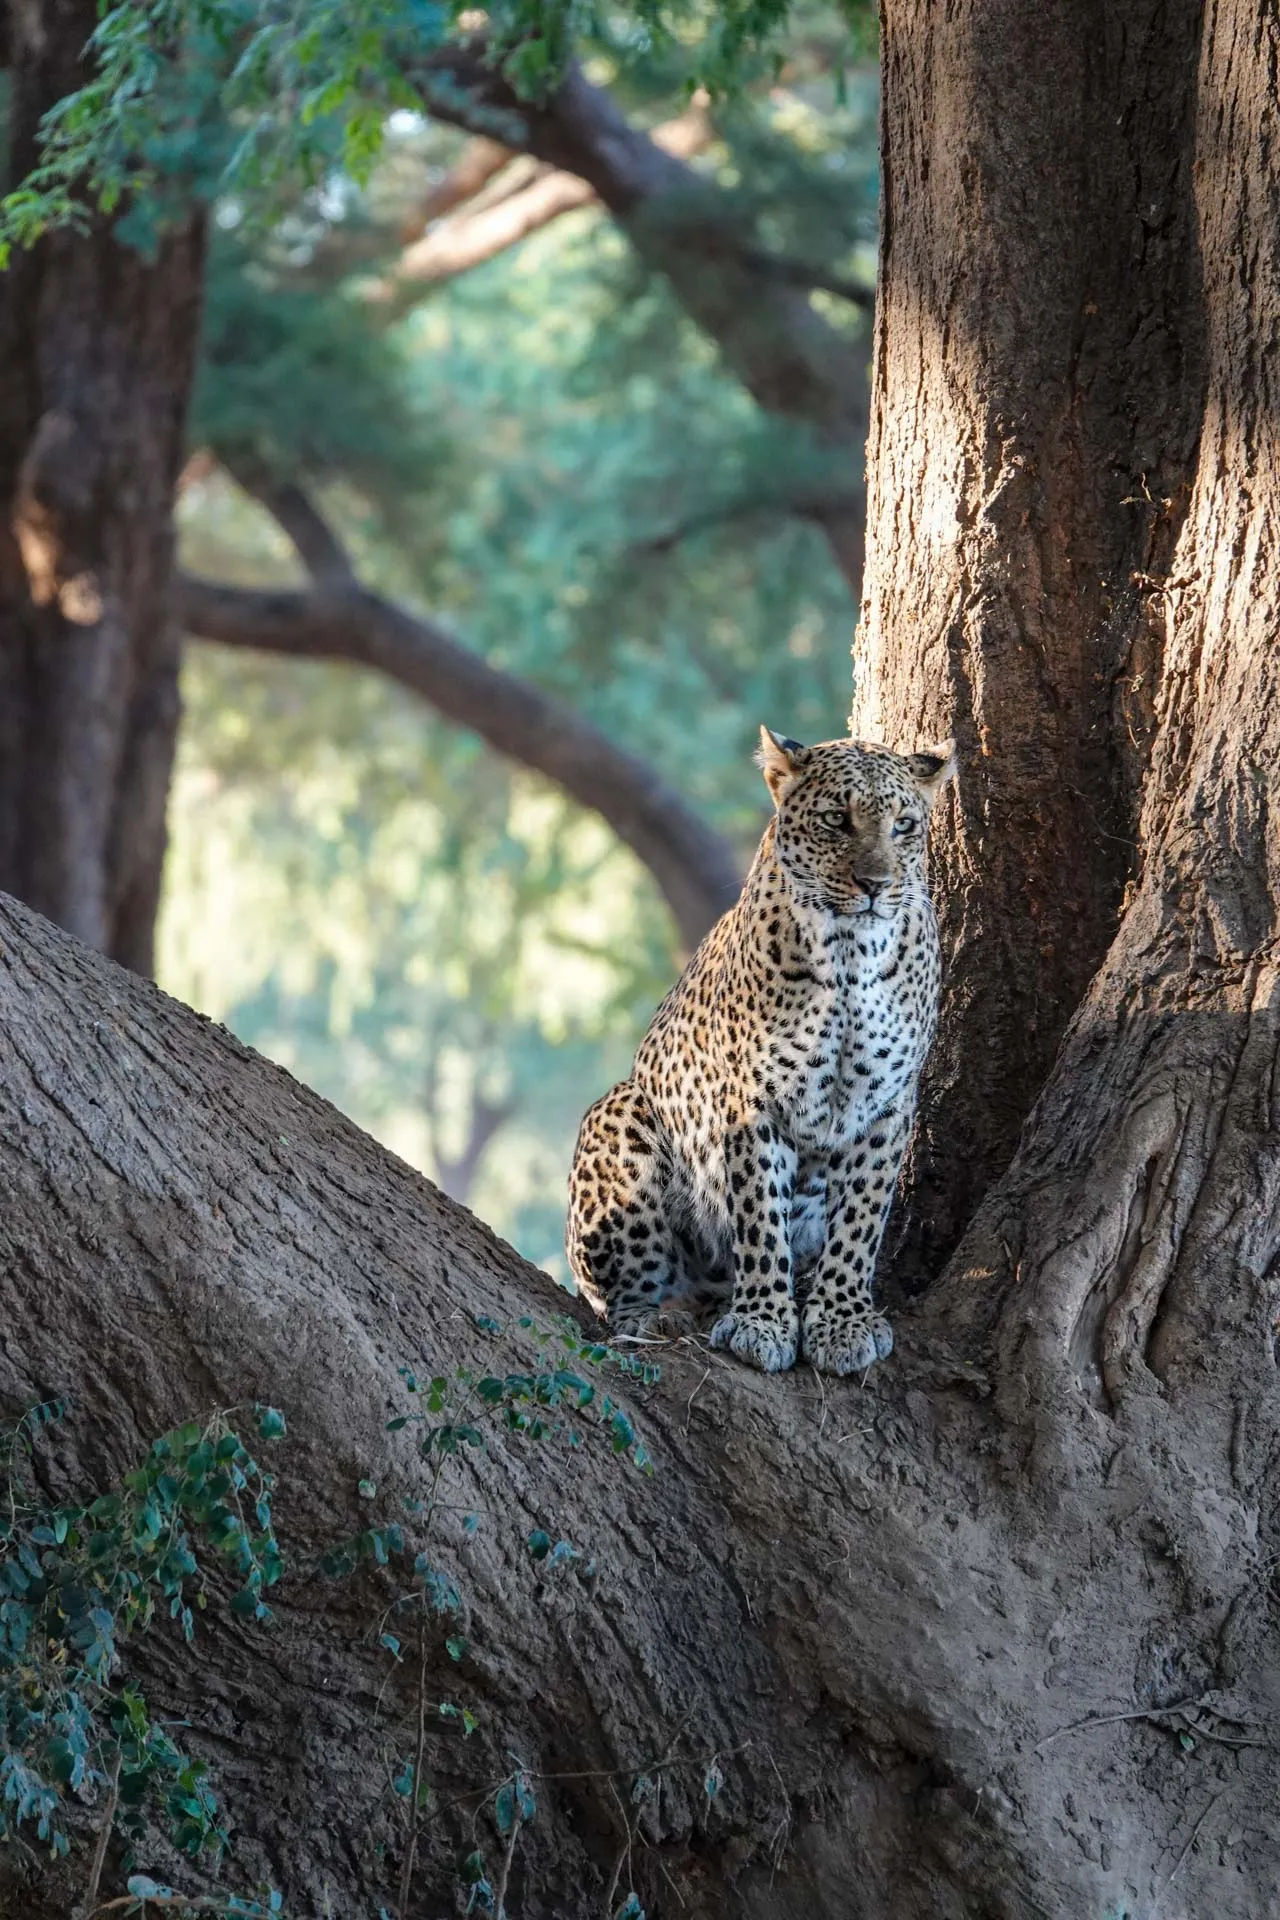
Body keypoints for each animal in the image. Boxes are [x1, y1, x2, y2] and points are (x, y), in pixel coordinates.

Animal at [566, 727, 956, 1375]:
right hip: (620, 1113)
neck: (851, 956)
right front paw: (763, 1323)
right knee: (628, 1291)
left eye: (904, 825)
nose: (875, 886)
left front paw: (842, 1321)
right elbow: (759, 1216)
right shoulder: (753, 1100)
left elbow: (860, 1221)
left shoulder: (887, 1106)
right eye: (837, 819)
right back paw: (658, 1316)